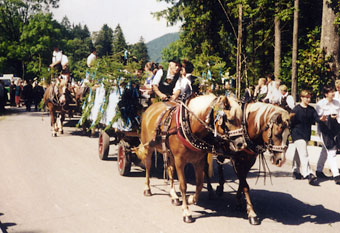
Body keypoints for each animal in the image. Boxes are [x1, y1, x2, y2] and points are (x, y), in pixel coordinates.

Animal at [133, 93, 247, 223]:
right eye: (229, 119)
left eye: (241, 120)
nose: (241, 144)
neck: (189, 125)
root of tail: (150, 108)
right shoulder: (180, 161)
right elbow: (183, 185)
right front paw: (186, 212)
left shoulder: (198, 161)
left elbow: (199, 183)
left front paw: (191, 199)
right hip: (148, 146)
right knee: (148, 165)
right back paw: (147, 188)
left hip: (169, 153)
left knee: (170, 170)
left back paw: (174, 196)